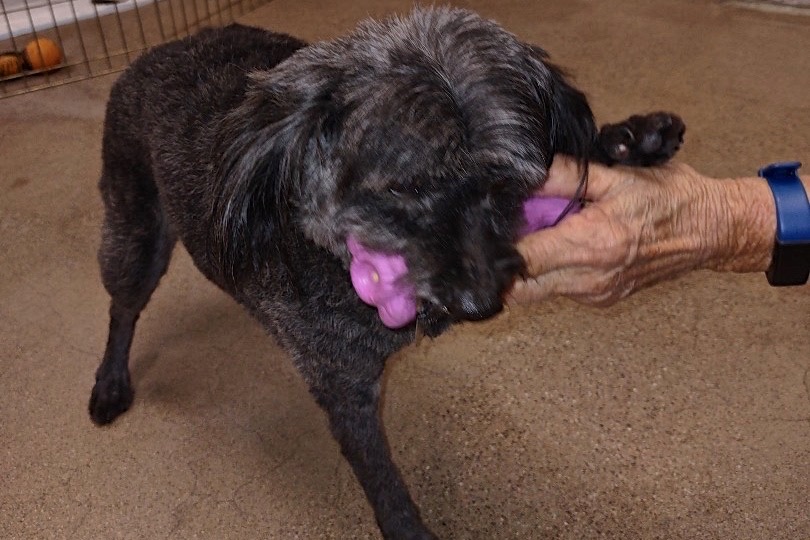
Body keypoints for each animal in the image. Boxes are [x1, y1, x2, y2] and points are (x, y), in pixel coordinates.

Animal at [89, 7, 684, 538]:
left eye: (505, 182)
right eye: (403, 189)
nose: (479, 306)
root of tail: (157, 50)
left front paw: (630, 141)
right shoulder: (345, 386)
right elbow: (382, 481)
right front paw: (407, 528)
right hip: (135, 237)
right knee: (122, 310)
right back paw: (110, 384)